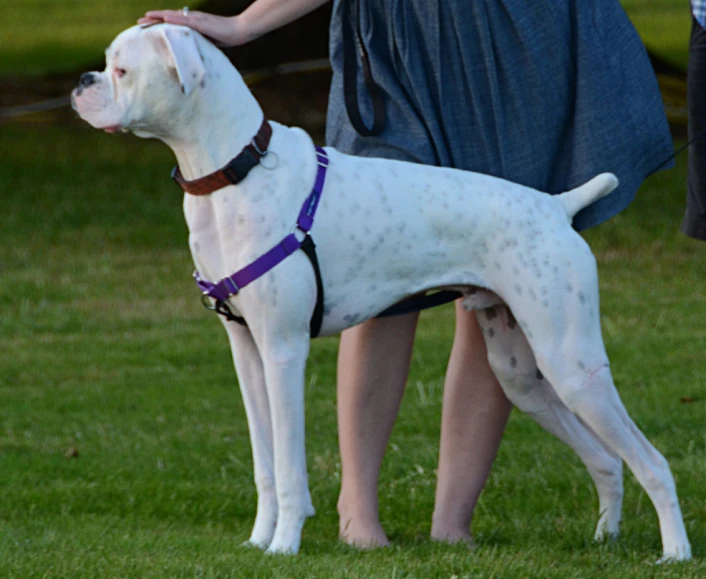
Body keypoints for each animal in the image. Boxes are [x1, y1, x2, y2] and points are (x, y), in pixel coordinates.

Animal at [71, 23, 688, 560]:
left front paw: (284, 546)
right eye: (106, 64)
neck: (236, 172)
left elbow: (289, 468)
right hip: (524, 377)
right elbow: (265, 464)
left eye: (121, 69)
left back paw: (674, 553)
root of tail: (557, 204)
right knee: (608, 461)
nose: (82, 81)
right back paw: (605, 538)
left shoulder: (283, 352)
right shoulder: (246, 352)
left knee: (653, 461)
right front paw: (257, 540)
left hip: (573, 366)